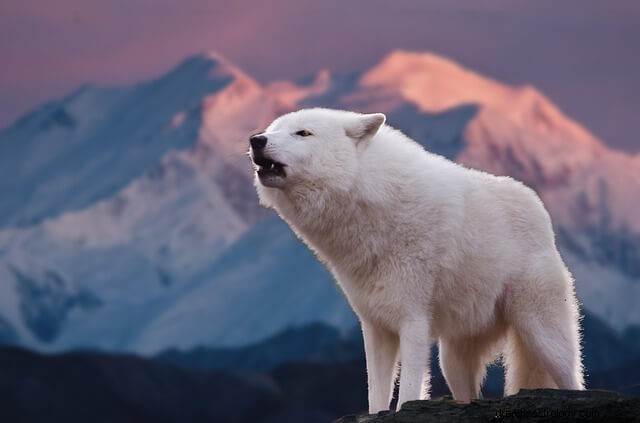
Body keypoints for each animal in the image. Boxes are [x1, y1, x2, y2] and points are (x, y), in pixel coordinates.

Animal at [249, 107, 584, 412]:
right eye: (273, 129)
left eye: (303, 133)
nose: (256, 139)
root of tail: (540, 210)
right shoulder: (376, 327)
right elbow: (376, 395)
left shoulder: (413, 321)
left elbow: (408, 390)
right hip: (452, 359)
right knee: (467, 393)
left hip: (542, 334)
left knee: (573, 380)